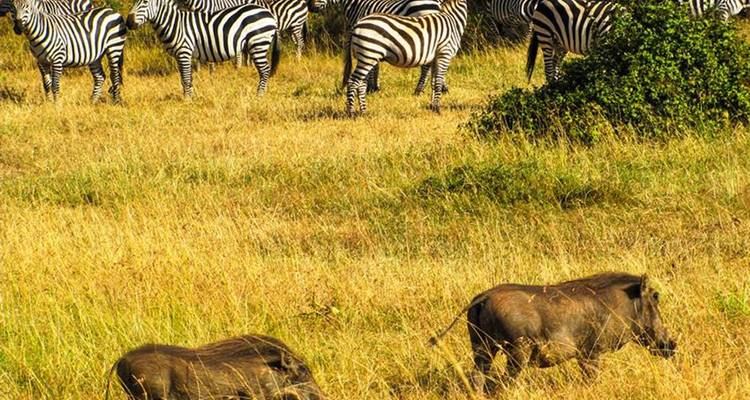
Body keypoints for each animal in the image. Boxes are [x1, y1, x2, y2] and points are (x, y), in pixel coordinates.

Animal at [126, 0, 280, 99]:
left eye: (145, 2)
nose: (128, 23)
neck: (175, 24)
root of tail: (270, 14)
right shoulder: (180, 55)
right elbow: (185, 77)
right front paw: (189, 96)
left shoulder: (184, 51)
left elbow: (186, 77)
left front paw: (188, 100)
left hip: (258, 42)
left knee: (265, 70)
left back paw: (259, 95)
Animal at [175, 0, 328, 59]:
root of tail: (302, 2)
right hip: (292, 27)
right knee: (298, 42)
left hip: (296, 24)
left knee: (300, 42)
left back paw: (298, 59)